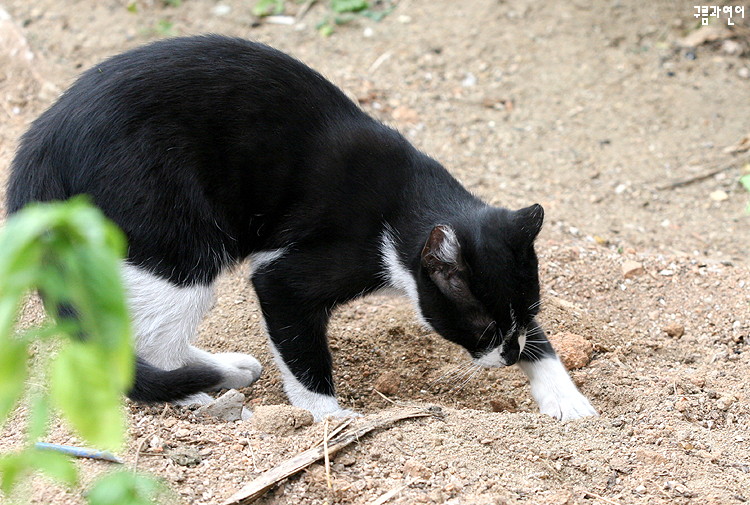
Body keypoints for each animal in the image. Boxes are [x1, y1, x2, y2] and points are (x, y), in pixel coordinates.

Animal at [5, 35, 600, 420]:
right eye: (482, 326)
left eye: (525, 315)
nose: (508, 355)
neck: (406, 201)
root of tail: (37, 144)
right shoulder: (289, 274)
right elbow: (301, 348)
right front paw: (332, 419)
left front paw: (564, 396)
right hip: (174, 242)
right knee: (149, 336)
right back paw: (199, 388)